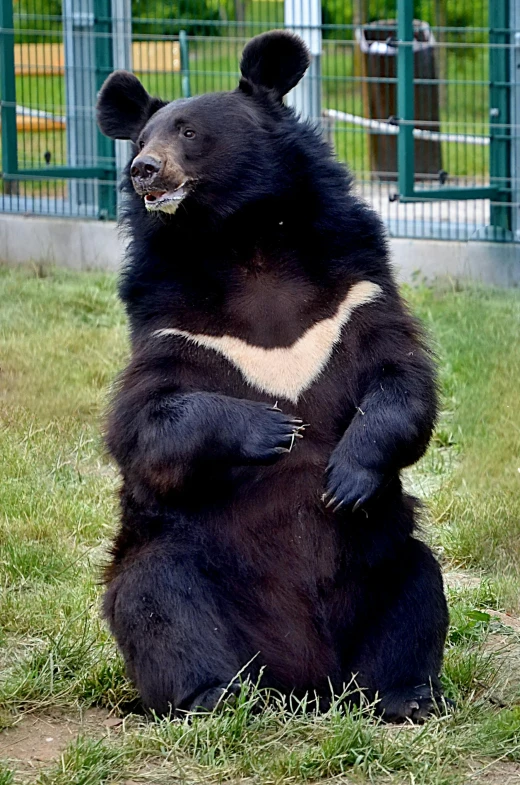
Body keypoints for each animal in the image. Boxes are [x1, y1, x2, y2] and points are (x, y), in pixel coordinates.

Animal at [99, 30, 448, 720]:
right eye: (141, 137)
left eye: (187, 131)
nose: (143, 170)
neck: (245, 243)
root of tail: (307, 683)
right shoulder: (169, 322)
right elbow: (146, 423)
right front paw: (272, 427)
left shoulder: (353, 293)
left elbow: (400, 382)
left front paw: (343, 478)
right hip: (188, 569)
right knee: (159, 599)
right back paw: (215, 695)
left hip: (382, 562)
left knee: (418, 590)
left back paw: (405, 696)